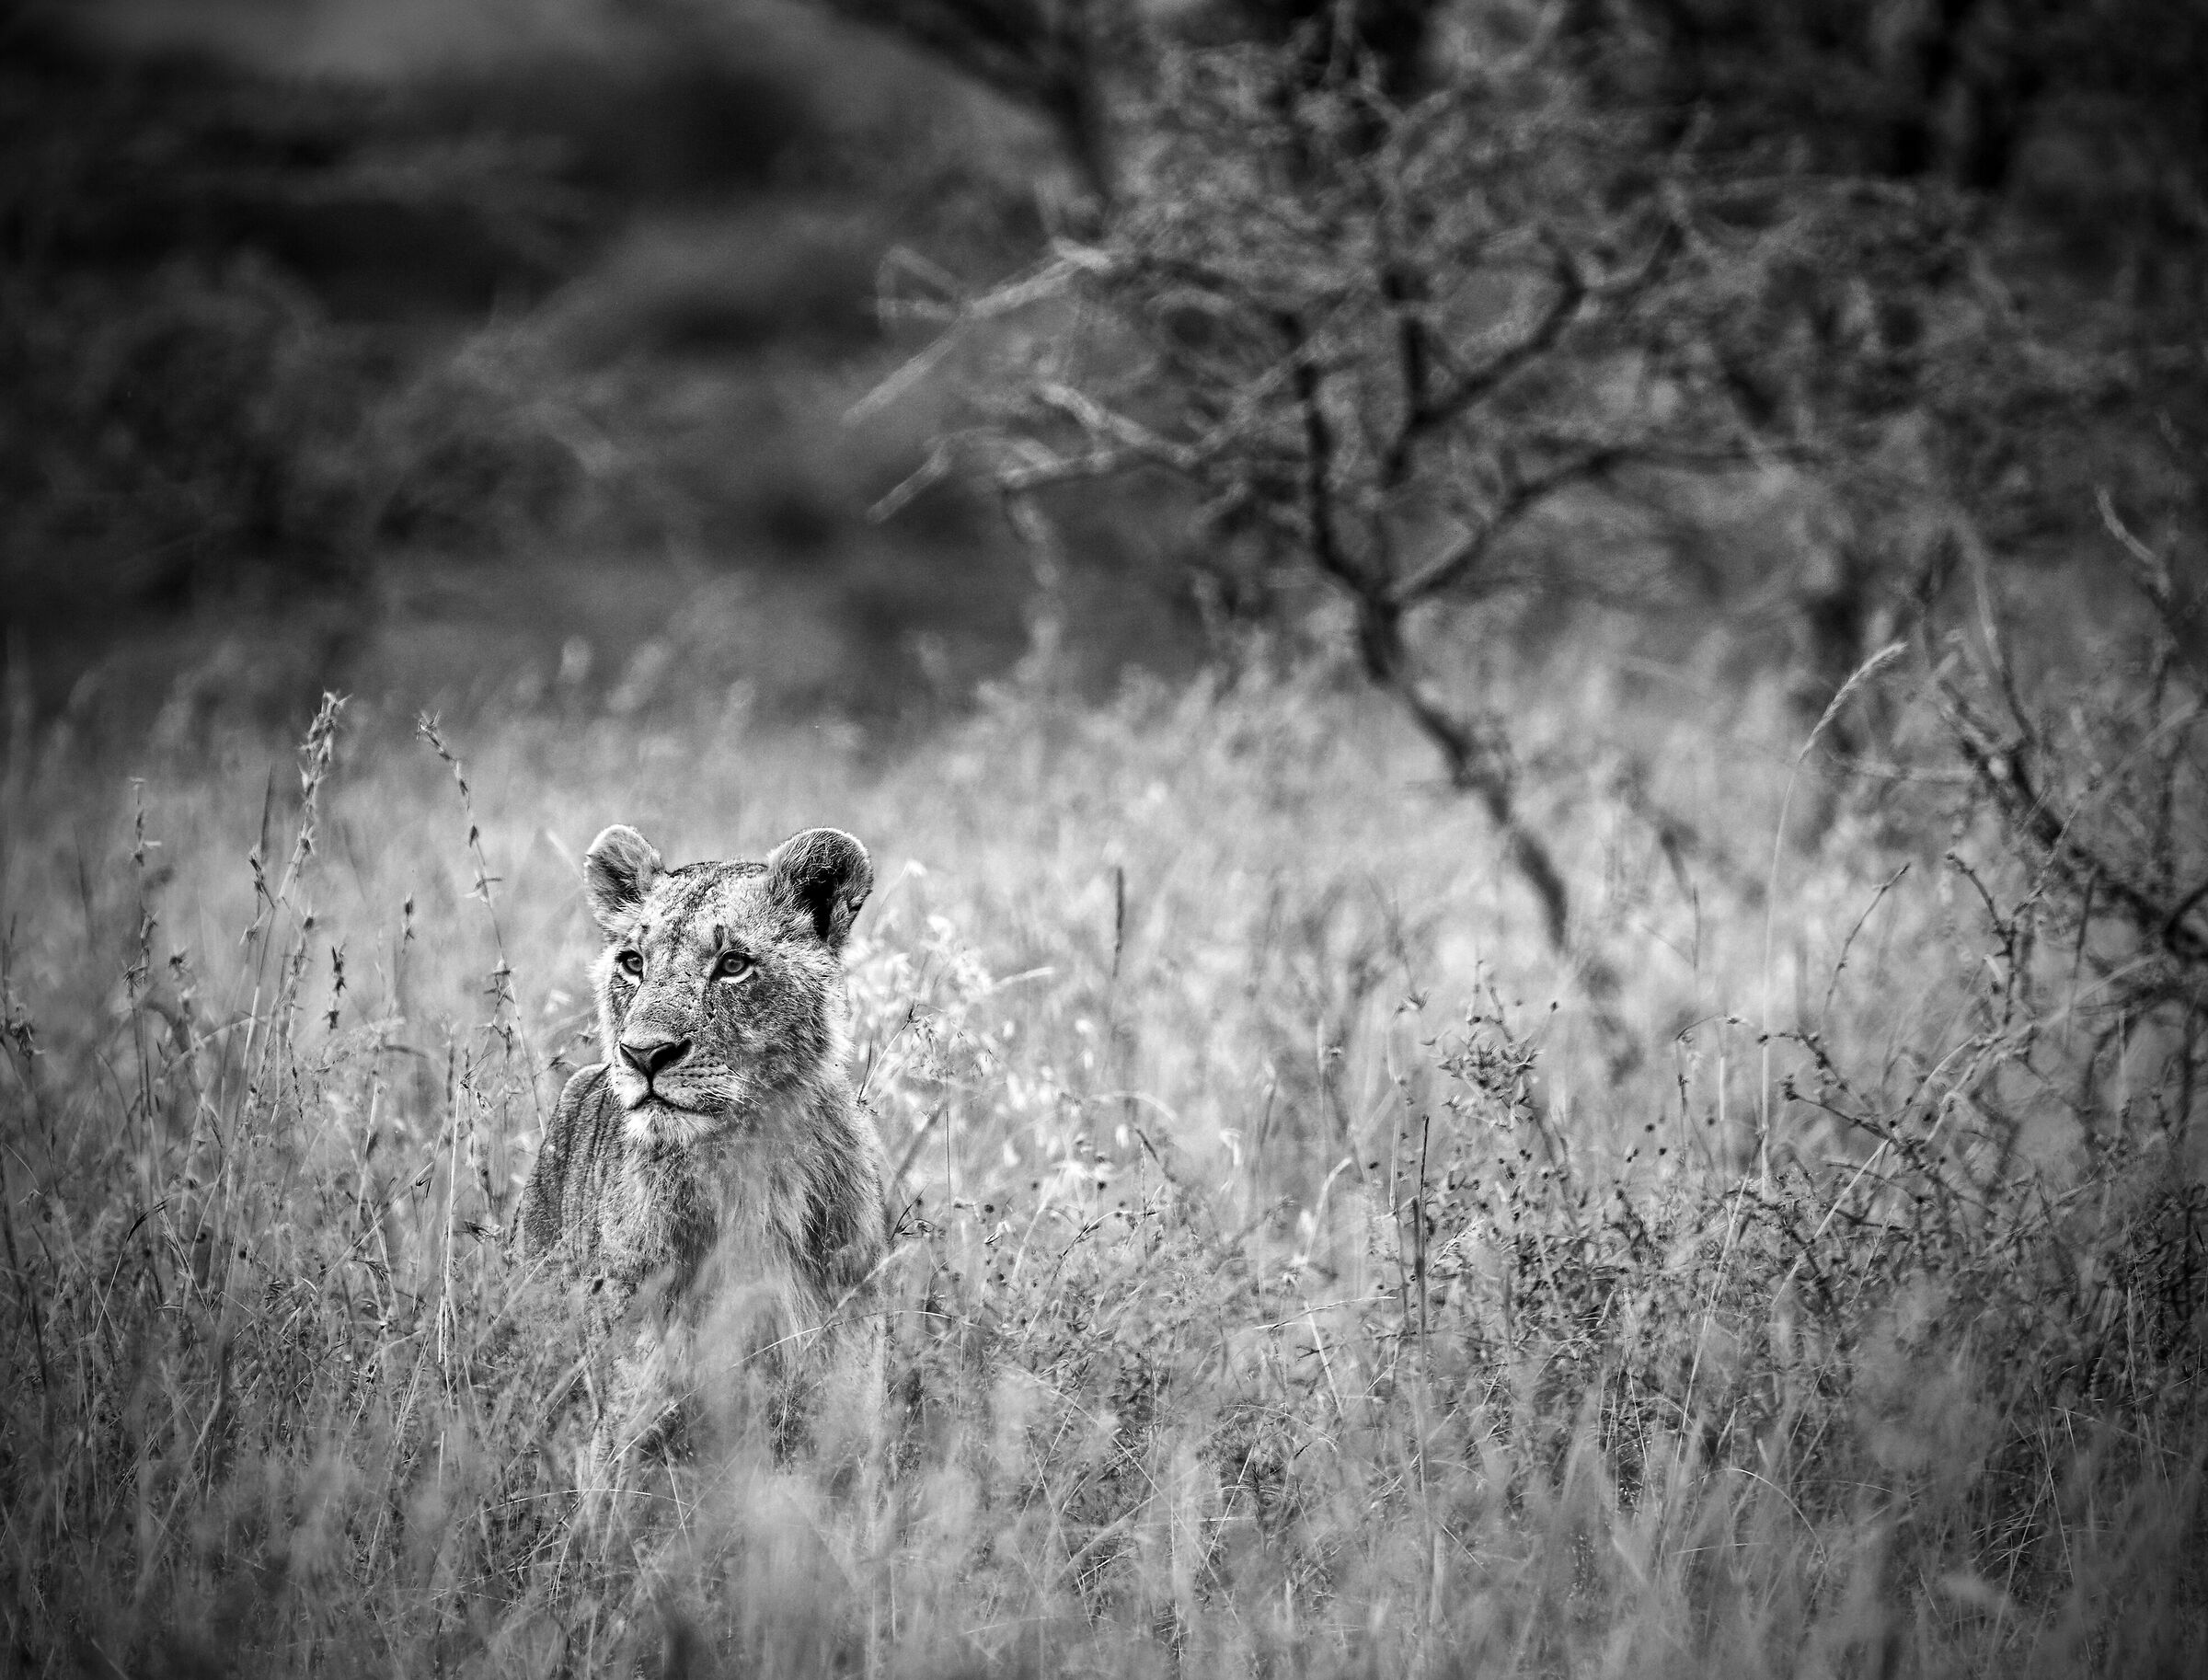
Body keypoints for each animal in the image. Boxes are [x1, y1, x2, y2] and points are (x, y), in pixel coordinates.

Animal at [519, 822, 887, 1476]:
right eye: (633, 962)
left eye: (733, 964)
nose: (643, 1054)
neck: (744, 1165)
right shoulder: (623, 1430)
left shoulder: (847, 1429)